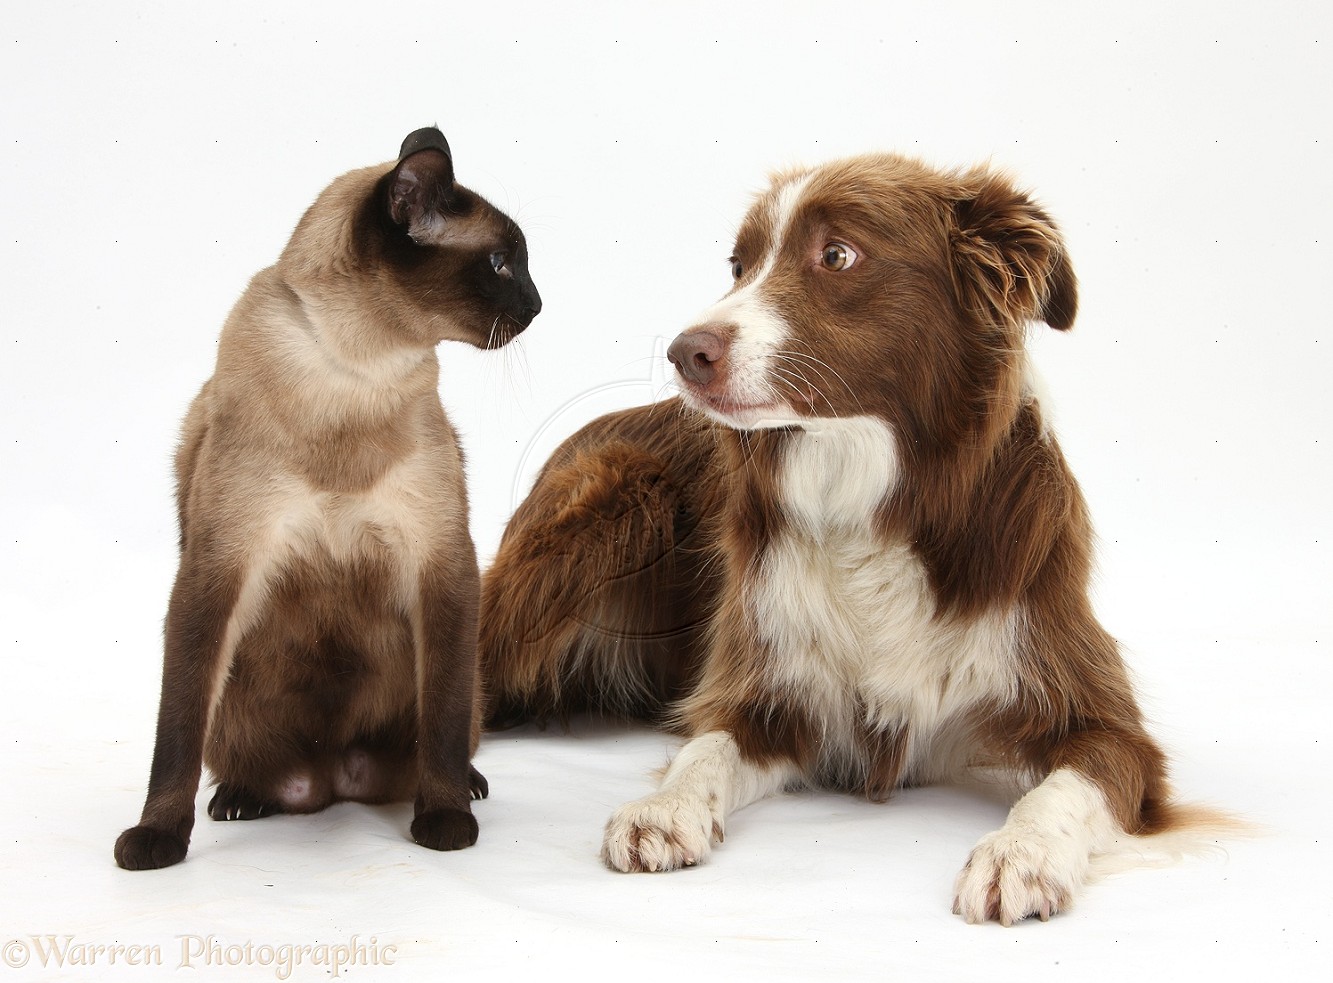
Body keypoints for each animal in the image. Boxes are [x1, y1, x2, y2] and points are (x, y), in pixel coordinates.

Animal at [114, 124, 538, 864]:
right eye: (500, 263)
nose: (538, 306)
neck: (353, 374)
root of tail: (336, 777)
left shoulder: (441, 561)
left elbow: (443, 723)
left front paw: (445, 821)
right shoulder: (219, 566)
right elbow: (175, 736)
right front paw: (156, 839)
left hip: (463, 680)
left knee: (450, 734)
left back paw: (469, 784)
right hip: (234, 702)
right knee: (230, 757)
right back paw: (240, 798)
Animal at [479, 151, 1210, 917]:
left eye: (837, 255)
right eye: (739, 264)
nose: (683, 353)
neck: (869, 503)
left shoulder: (1100, 719)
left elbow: (1067, 786)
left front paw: (1021, 852)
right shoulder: (765, 690)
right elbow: (704, 749)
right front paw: (664, 808)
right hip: (611, 496)